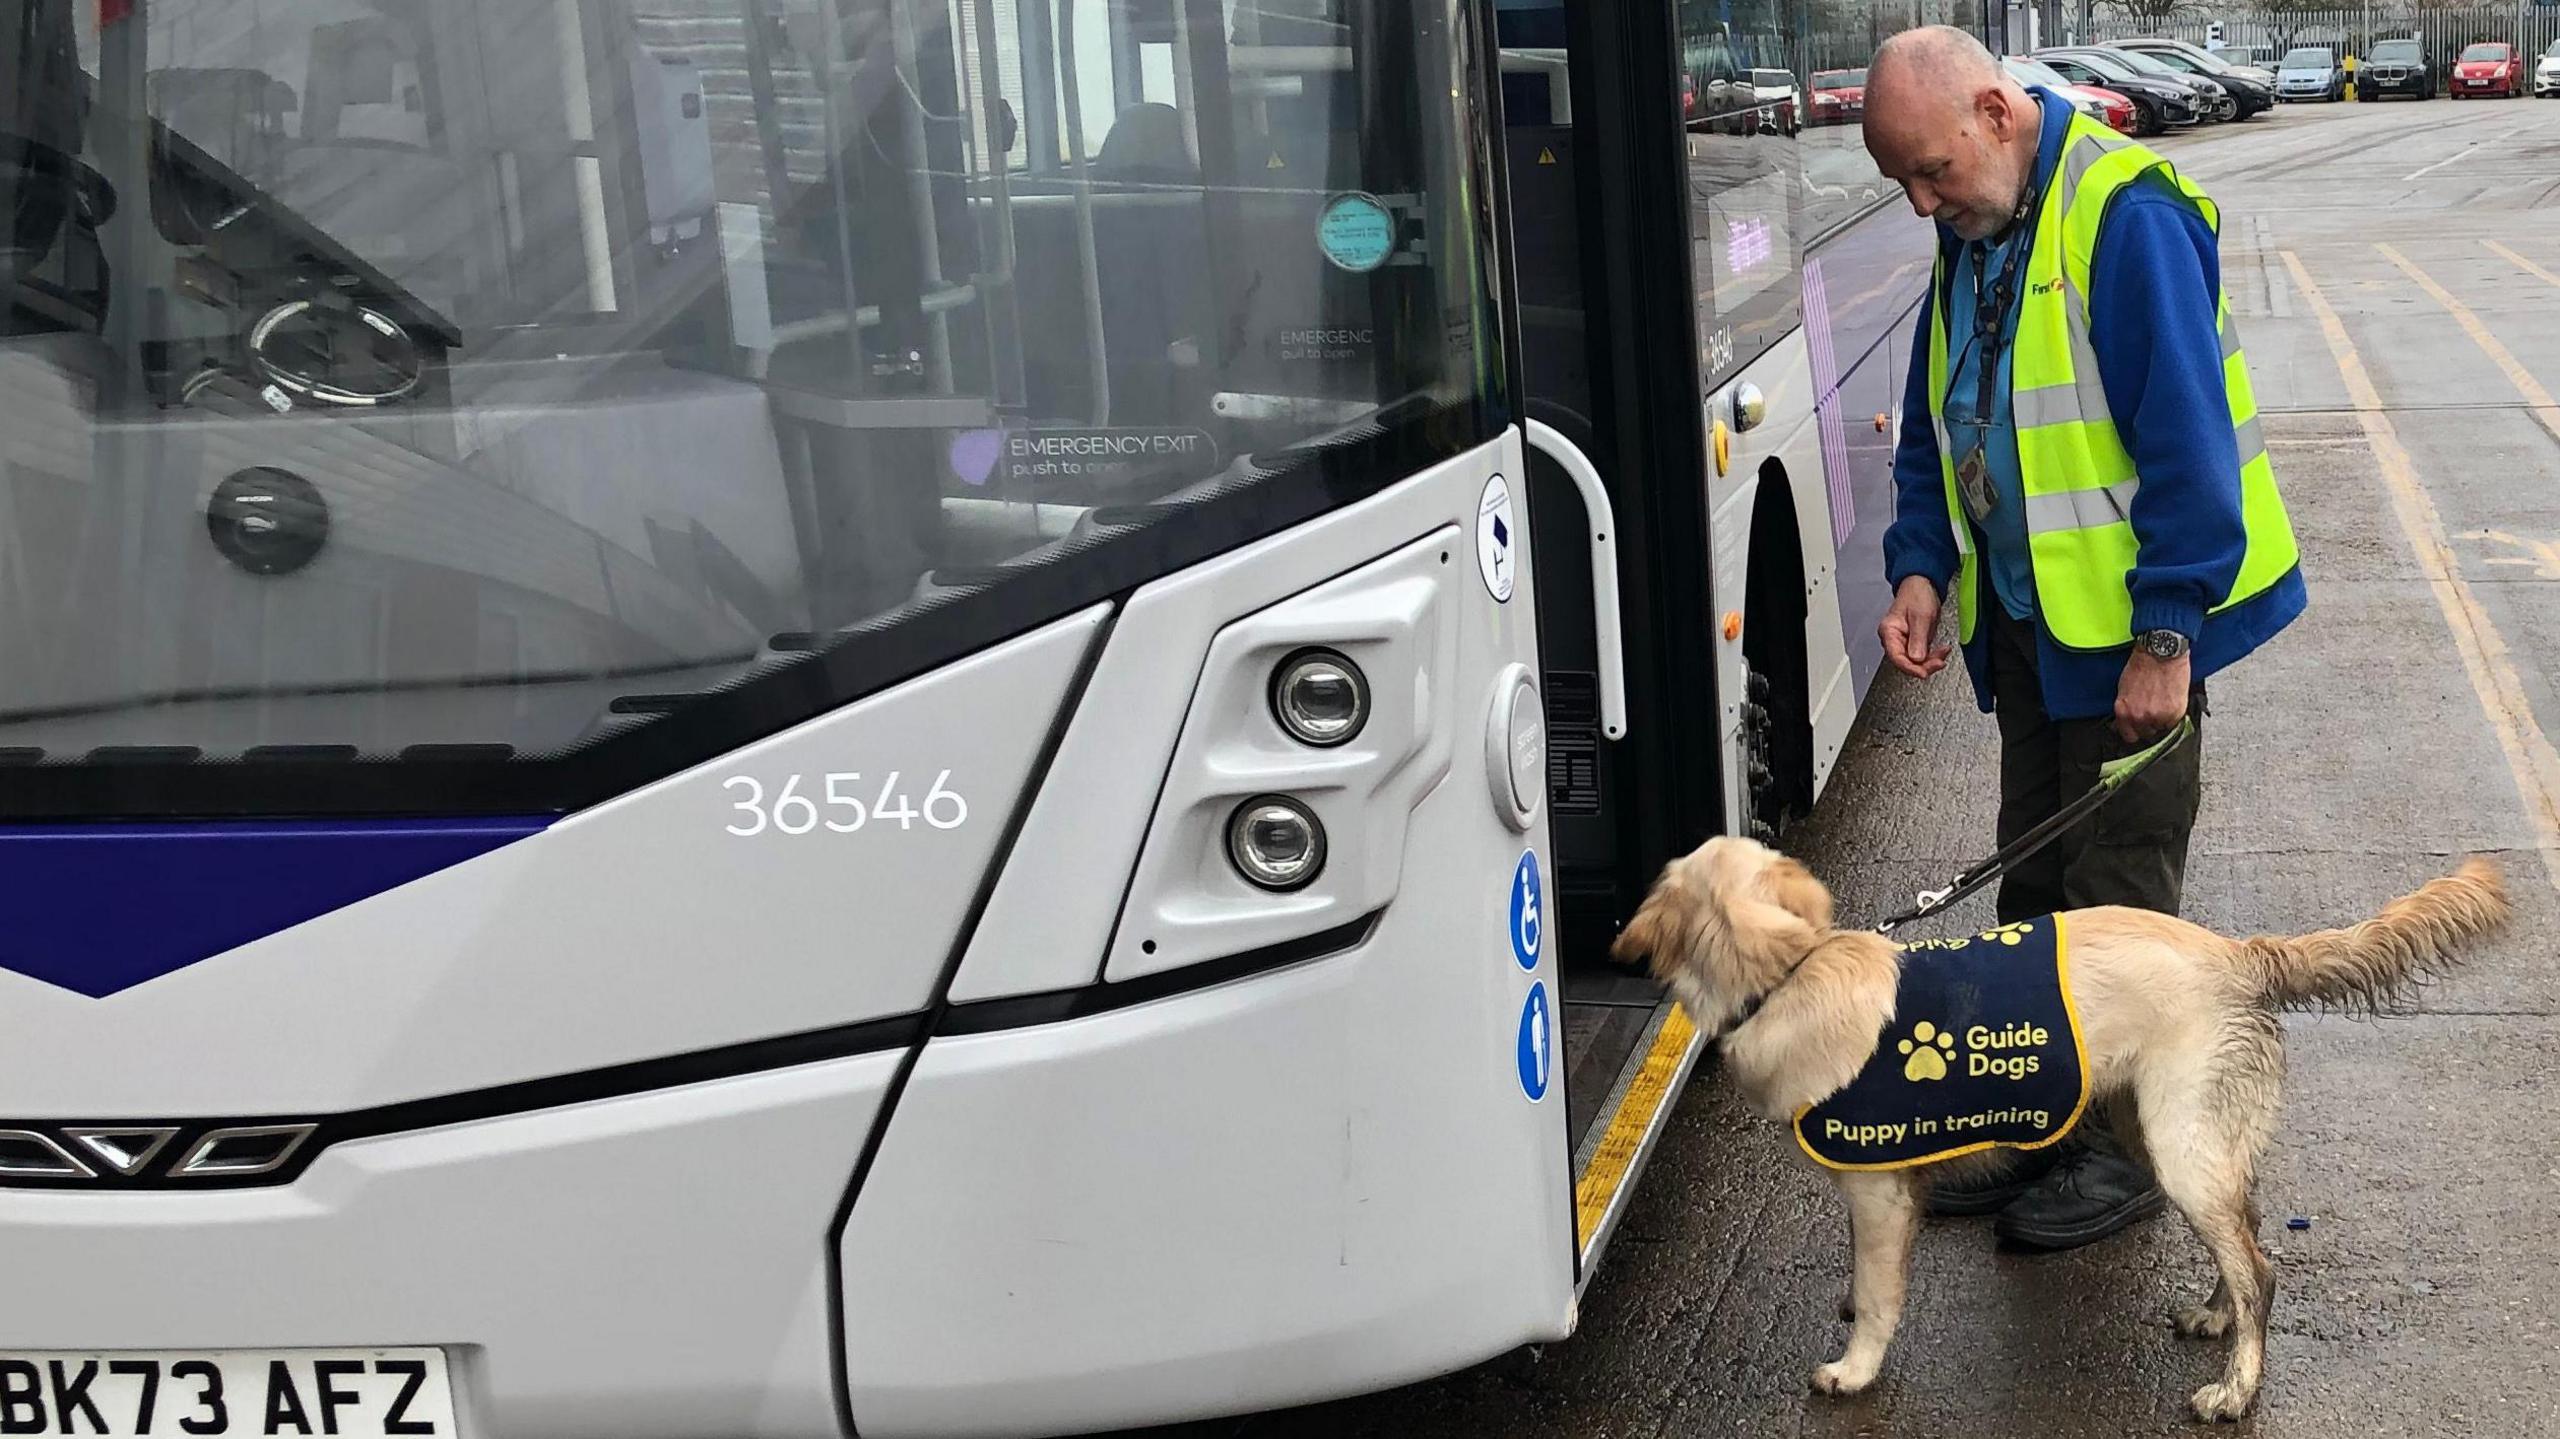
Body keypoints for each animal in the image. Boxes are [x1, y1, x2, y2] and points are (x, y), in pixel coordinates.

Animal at [1607, 834, 2508, 1413]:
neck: (1791, 972)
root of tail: (2241, 953)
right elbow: (1864, 1283)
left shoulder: (1879, 1191)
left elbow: (1879, 1295)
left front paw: (1854, 1369)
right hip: (2172, 1131)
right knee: (2248, 1237)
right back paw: (2215, 1314)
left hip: (2181, 1145)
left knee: (2262, 1271)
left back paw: (2236, 1388)